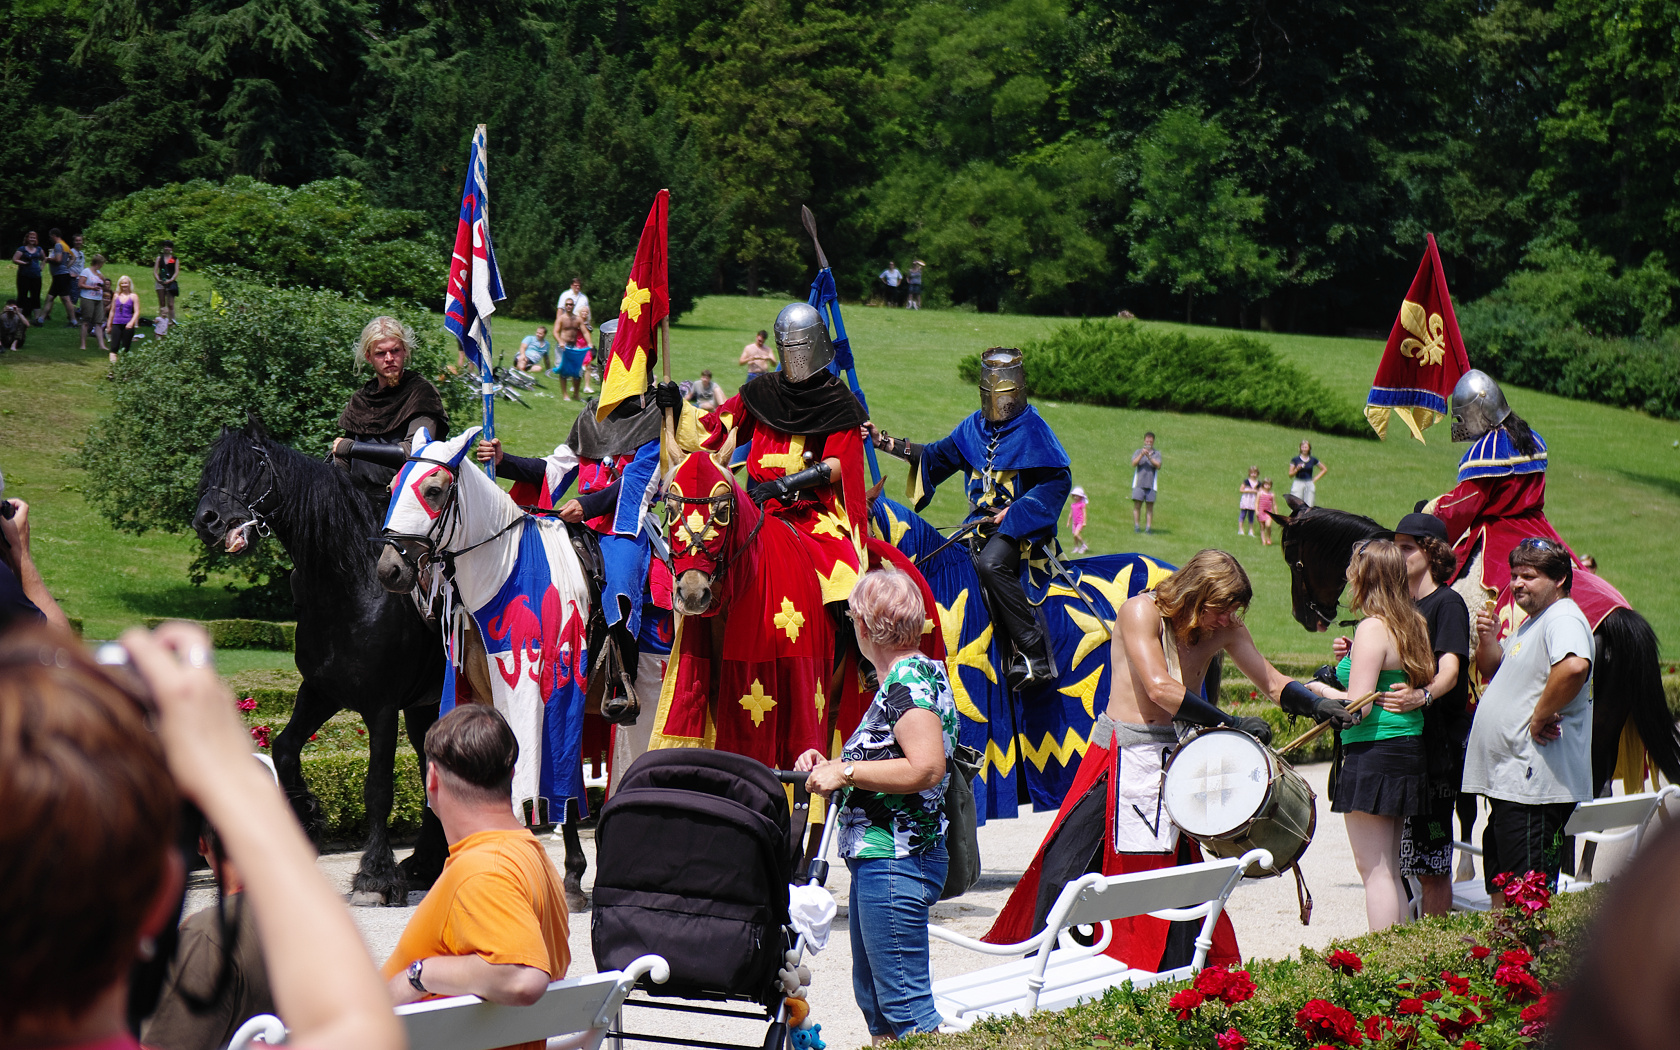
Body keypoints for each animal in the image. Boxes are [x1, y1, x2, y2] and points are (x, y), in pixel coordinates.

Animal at [191, 419, 449, 906]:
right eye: (210, 468)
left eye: (253, 466)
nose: (206, 520)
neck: (351, 585)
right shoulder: (320, 692)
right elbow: (285, 749)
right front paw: (305, 822)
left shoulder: (382, 706)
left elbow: (378, 787)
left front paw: (375, 876)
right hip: (425, 706)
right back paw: (427, 863)